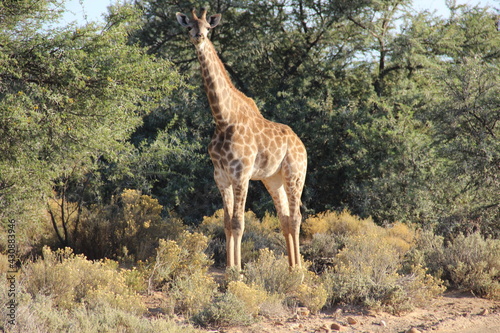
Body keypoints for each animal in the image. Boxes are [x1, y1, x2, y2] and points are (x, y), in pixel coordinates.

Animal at [178, 7, 306, 270]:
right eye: (189, 27)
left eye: (208, 27)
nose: (198, 37)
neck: (223, 119)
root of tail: (302, 145)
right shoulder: (220, 176)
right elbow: (227, 223)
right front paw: (229, 268)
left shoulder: (241, 174)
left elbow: (238, 222)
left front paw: (238, 271)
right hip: (273, 179)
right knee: (285, 218)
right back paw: (290, 268)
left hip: (295, 174)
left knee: (296, 217)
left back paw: (299, 270)